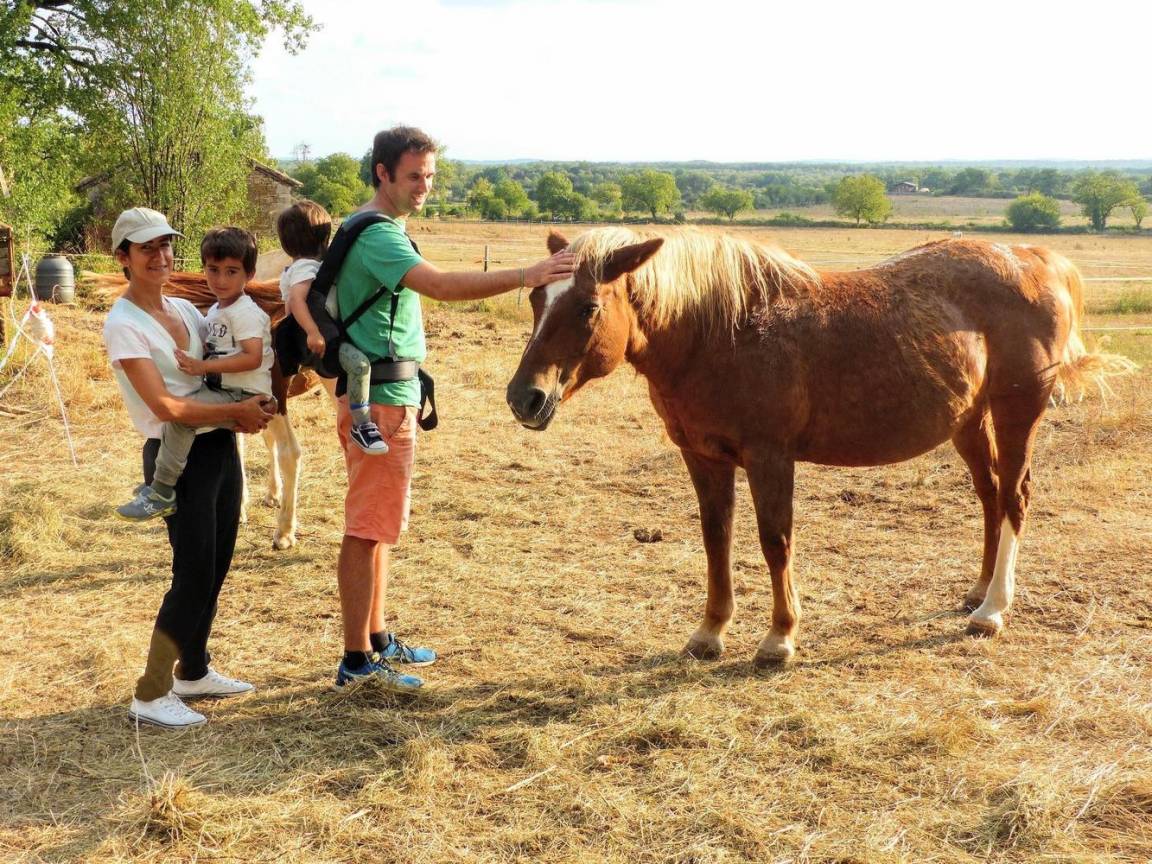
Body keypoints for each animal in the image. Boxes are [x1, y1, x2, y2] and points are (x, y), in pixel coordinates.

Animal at [506, 228, 1132, 667]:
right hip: (969, 420)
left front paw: (779, 638)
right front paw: (710, 632)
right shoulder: (703, 456)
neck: (718, 331)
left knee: (1016, 498)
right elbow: (716, 539)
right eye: (536, 296)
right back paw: (977, 593)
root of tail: (1036, 257)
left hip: (1016, 413)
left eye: (588, 307)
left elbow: (774, 541)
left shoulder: (769, 457)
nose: (524, 398)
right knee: (990, 496)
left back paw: (993, 611)